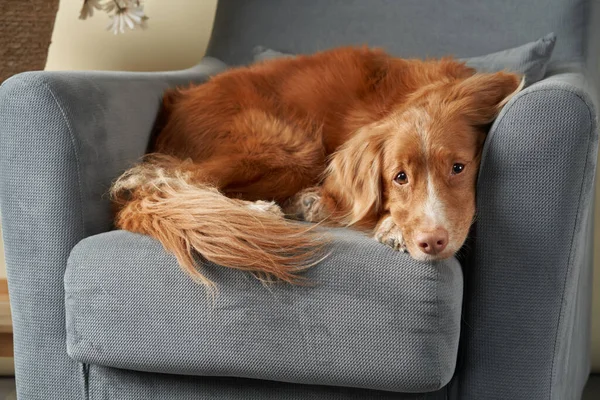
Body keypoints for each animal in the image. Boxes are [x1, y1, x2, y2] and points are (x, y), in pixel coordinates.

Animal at [110, 47, 524, 288]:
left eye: (458, 167)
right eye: (400, 177)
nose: (431, 242)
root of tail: (175, 109)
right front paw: (391, 226)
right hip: (292, 146)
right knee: (168, 181)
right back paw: (262, 211)